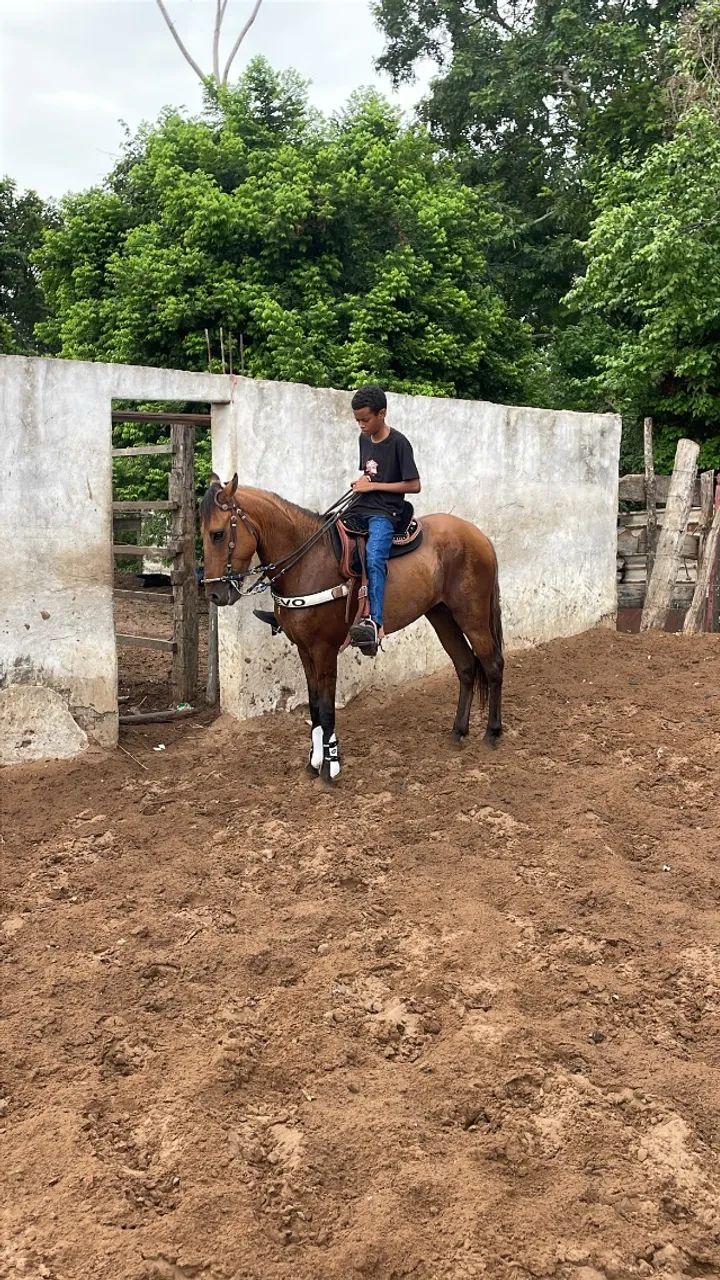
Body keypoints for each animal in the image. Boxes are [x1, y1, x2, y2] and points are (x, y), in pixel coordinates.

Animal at [200, 475, 503, 781]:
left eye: (218, 534)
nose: (214, 594)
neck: (308, 563)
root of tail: (479, 536)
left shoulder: (324, 649)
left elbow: (326, 709)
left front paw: (330, 766)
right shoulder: (304, 649)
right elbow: (314, 705)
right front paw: (314, 762)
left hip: (472, 615)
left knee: (492, 665)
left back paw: (492, 733)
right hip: (441, 615)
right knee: (465, 666)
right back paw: (458, 732)